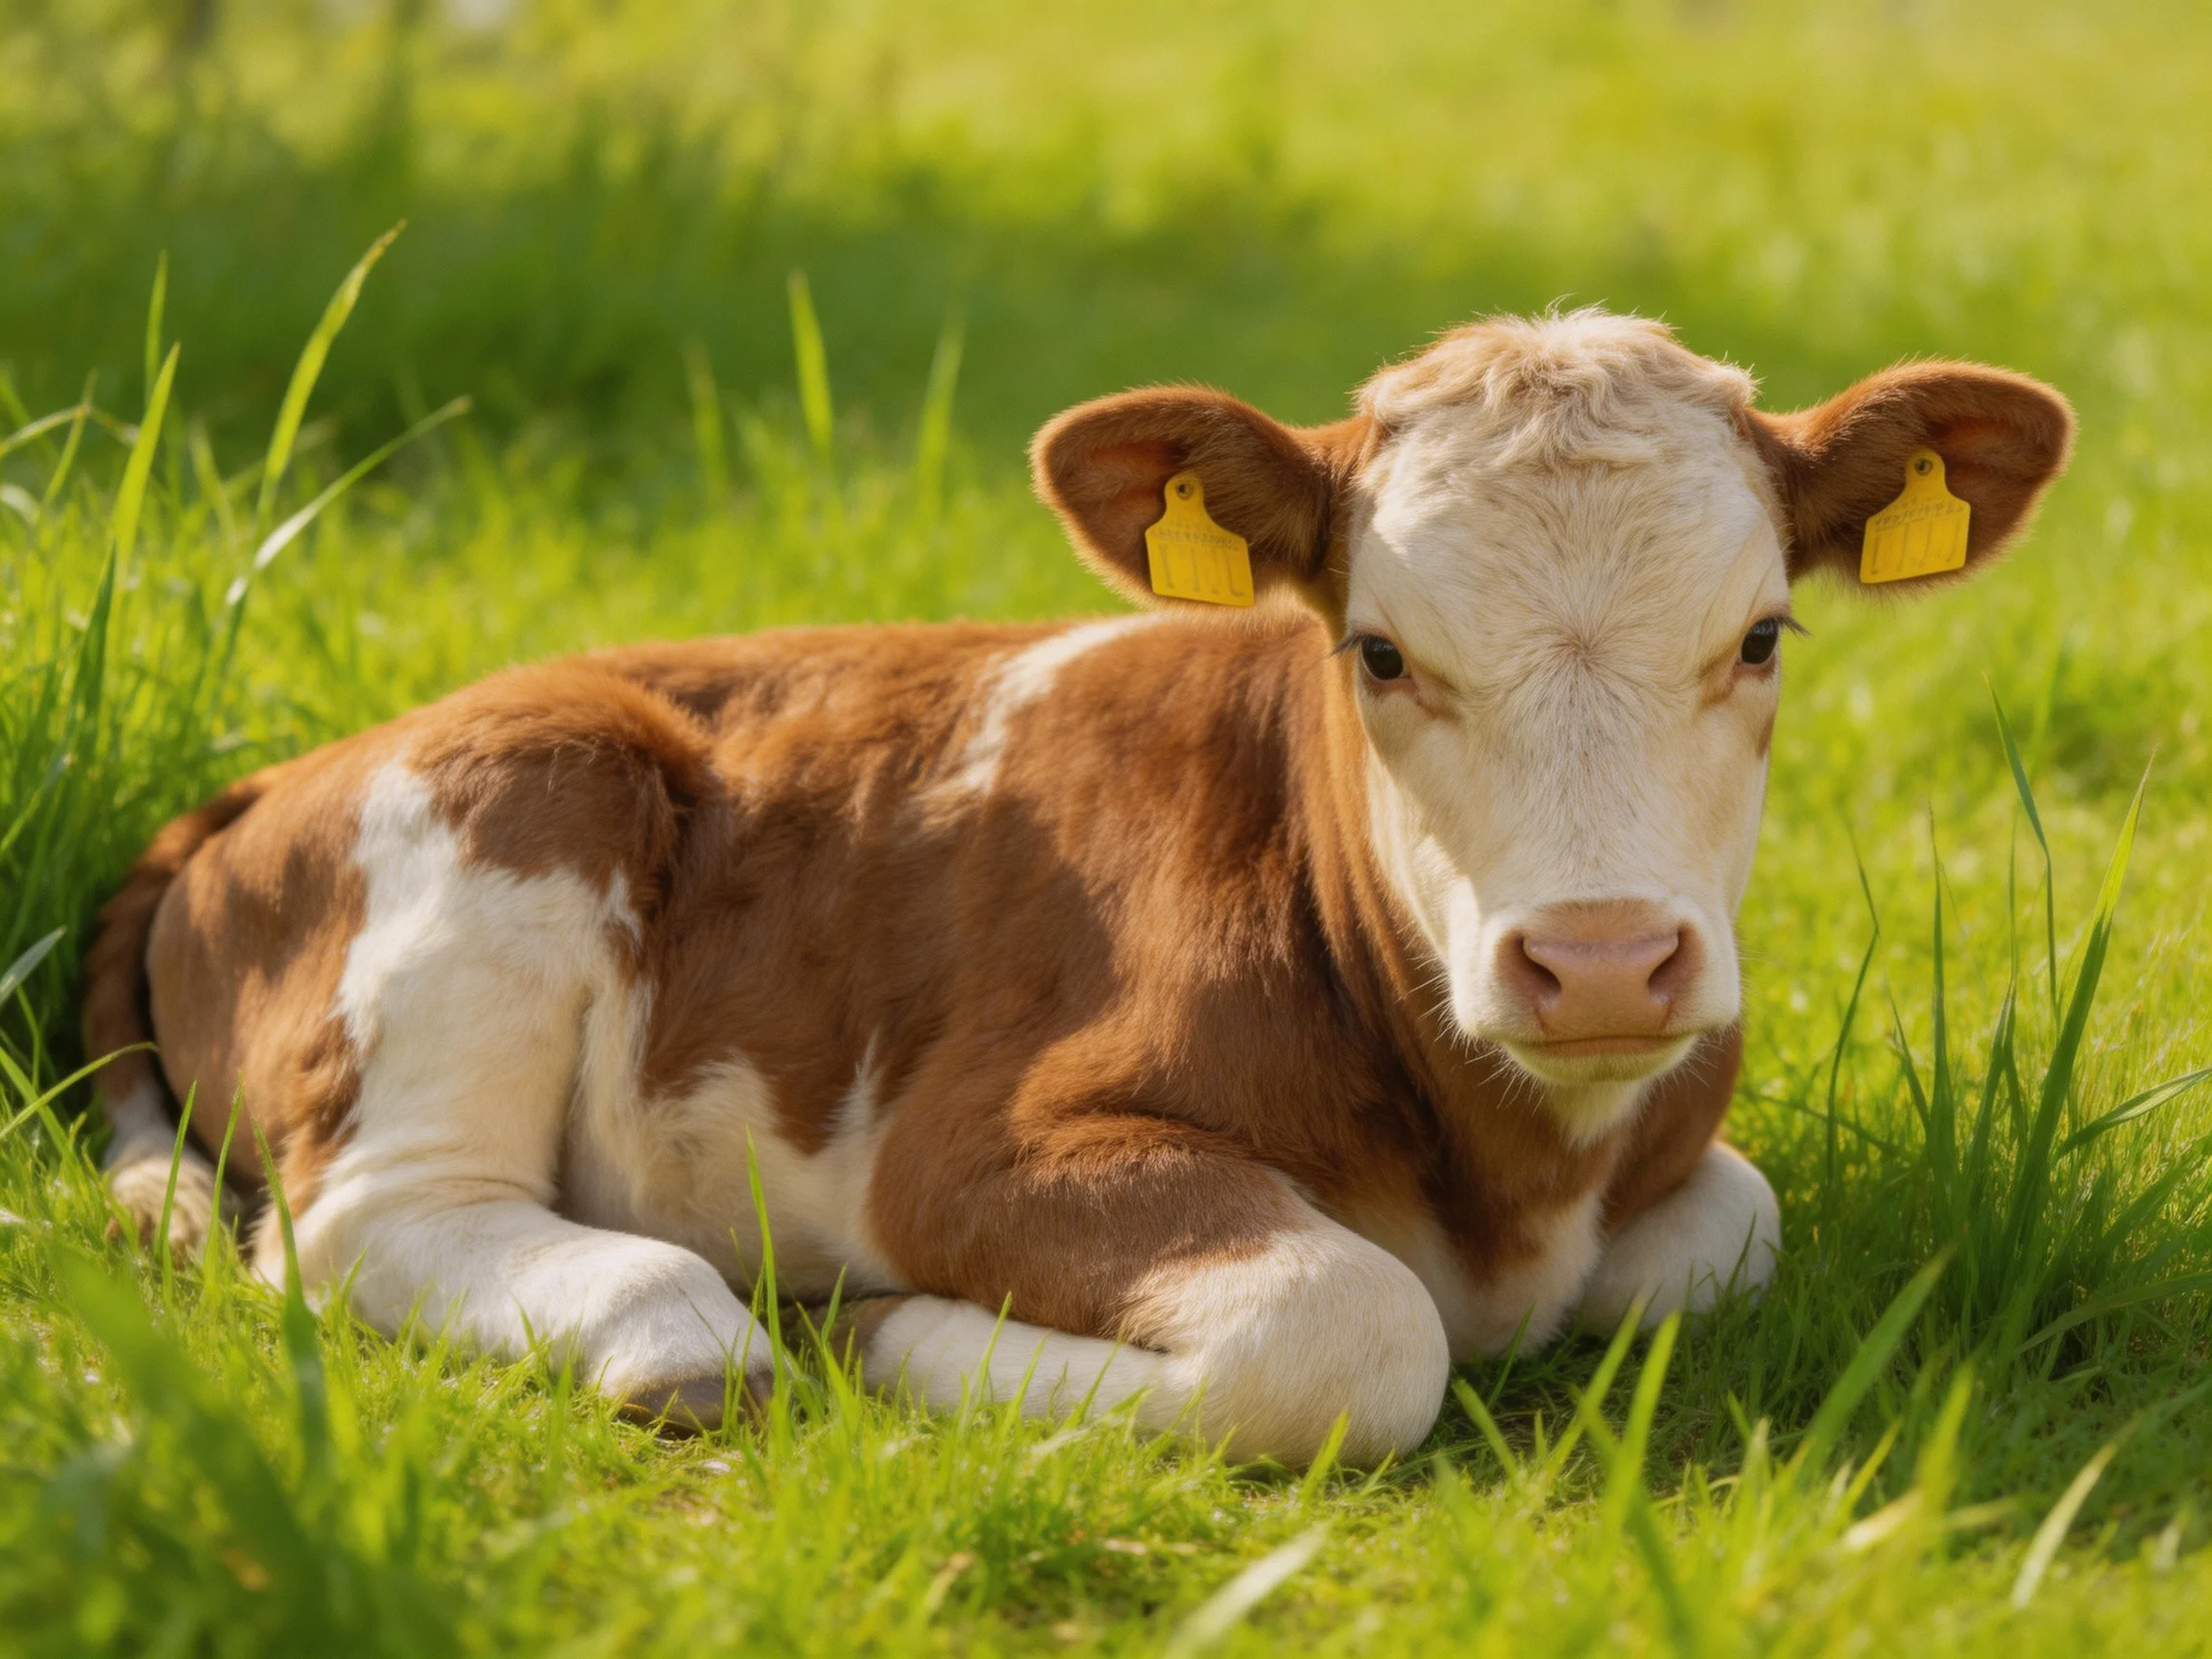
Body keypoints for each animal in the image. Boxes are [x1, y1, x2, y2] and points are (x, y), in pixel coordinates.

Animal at [82, 310, 2071, 1466]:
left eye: (1760, 635)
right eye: (1376, 649)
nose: (1595, 962)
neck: (1513, 1185)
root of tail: (262, 780)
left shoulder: (1680, 1167)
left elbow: (1727, 1230)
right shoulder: (978, 1143)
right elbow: (1346, 1327)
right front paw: (888, 1329)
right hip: (516, 799)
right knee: (362, 1224)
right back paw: (690, 1329)